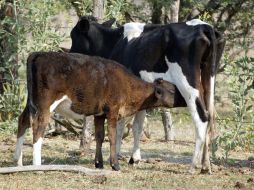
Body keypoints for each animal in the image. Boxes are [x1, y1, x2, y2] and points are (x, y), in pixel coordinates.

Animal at [69, 17, 224, 174]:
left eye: (73, 36)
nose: (70, 54)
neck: (115, 42)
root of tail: (203, 26)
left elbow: (121, 126)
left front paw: (117, 156)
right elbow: (138, 125)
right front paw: (134, 159)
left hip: (188, 83)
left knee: (202, 118)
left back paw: (193, 166)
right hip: (209, 79)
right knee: (210, 116)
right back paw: (206, 165)